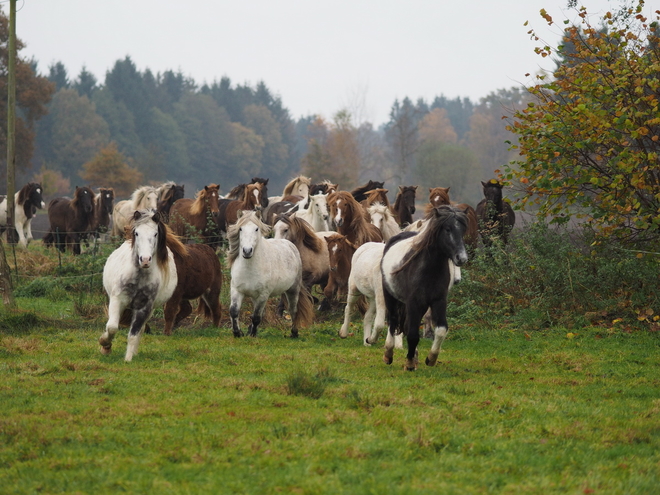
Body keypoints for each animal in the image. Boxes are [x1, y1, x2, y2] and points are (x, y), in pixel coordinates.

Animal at [95, 208, 184, 360]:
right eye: (137, 233)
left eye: (155, 234)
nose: (145, 260)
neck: (138, 278)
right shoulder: (117, 300)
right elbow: (112, 327)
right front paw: (105, 345)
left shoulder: (144, 307)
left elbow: (134, 333)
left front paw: (128, 359)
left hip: (150, 309)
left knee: (141, 329)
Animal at [226, 211, 314, 340]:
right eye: (240, 228)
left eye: (256, 229)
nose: (247, 251)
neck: (249, 268)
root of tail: (290, 245)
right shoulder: (237, 290)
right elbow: (234, 311)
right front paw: (238, 333)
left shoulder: (263, 295)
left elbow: (256, 317)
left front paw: (252, 335)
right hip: (255, 296)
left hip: (293, 290)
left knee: (293, 311)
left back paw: (294, 333)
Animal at [382, 205, 470, 372]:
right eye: (447, 229)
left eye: (463, 230)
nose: (461, 258)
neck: (428, 269)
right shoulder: (413, 302)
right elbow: (412, 334)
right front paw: (409, 363)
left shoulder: (439, 301)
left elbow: (441, 329)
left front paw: (430, 358)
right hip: (391, 297)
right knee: (393, 321)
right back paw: (388, 354)